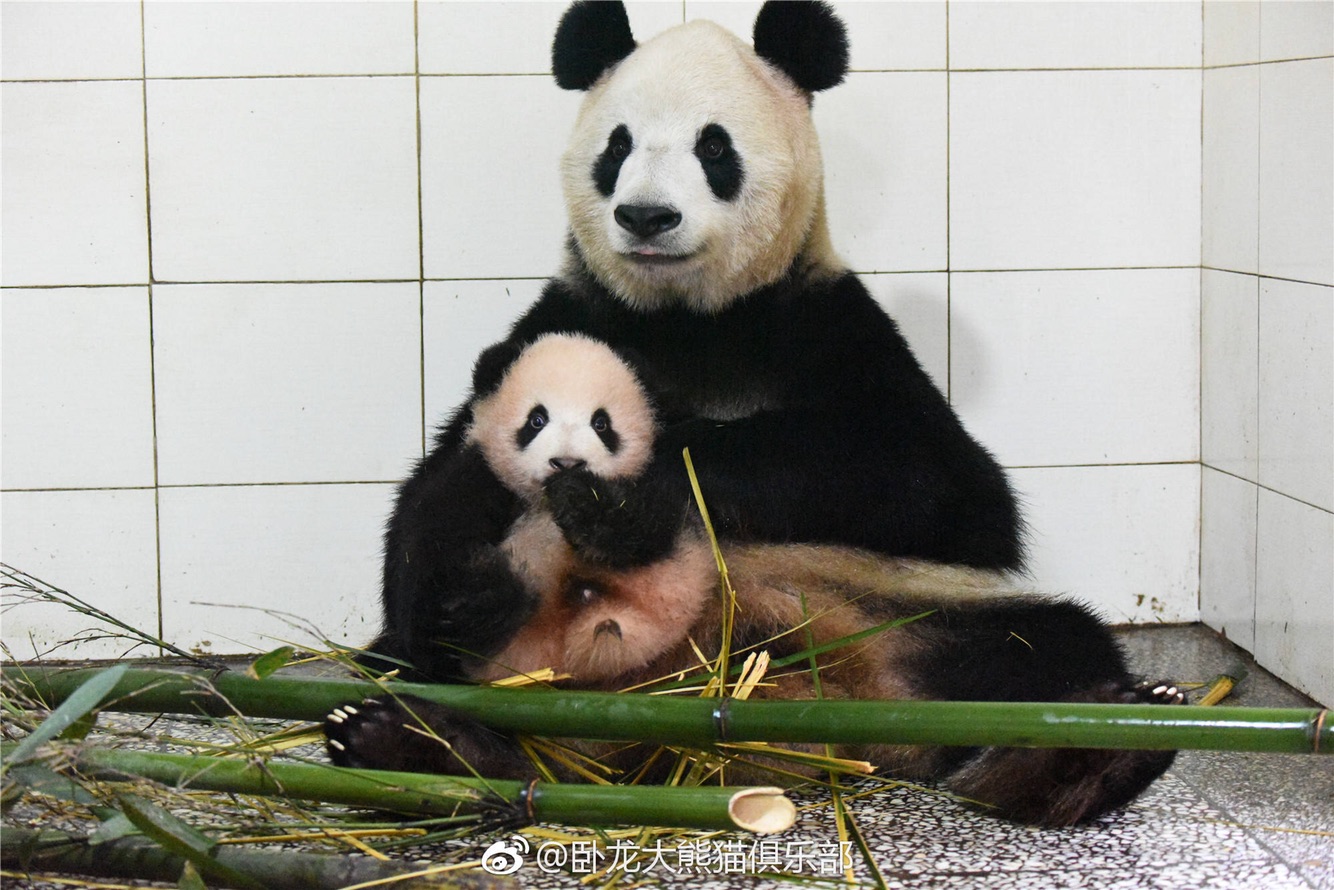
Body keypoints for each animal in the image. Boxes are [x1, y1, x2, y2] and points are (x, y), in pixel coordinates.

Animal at [328, 333, 1184, 827]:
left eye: (604, 423)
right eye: (535, 418)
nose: (567, 464)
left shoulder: (682, 489)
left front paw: (603, 520)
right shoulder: (468, 485)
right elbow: (425, 575)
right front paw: (481, 598)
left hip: (907, 623)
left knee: (1041, 648)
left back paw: (1103, 751)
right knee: (534, 757)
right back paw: (415, 744)